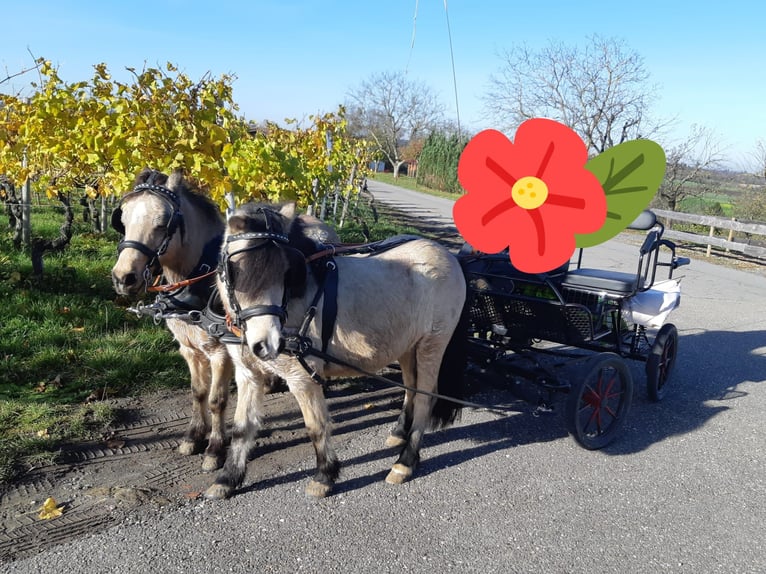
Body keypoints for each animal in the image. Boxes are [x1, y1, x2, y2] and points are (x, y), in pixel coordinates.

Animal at [109, 168, 338, 472]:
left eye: (161, 223)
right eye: (122, 219)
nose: (123, 278)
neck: (198, 277)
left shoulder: (220, 352)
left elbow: (217, 400)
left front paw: (214, 449)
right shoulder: (189, 349)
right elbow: (198, 393)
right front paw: (193, 437)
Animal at [204, 202, 468, 500]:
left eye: (286, 272)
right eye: (235, 270)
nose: (267, 344)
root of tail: (447, 254)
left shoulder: (302, 377)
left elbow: (316, 426)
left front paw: (325, 475)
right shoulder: (248, 374)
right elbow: (242, 427)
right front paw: (227, 478)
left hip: (432, 344)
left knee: (425, 397)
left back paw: (405, 461)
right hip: (407, 345)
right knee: (411, 388)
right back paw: (400, 432)